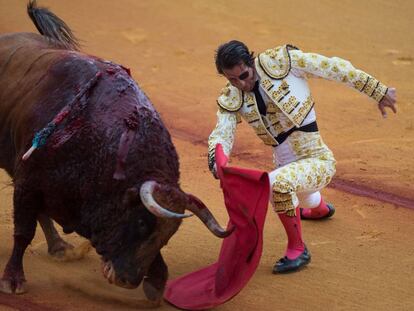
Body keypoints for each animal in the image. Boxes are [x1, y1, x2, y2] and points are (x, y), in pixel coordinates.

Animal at [0, 0, 230, 302]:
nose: (127, 280)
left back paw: (59, 247)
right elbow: (23, 233)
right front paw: (13, 280)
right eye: (142, 222)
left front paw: (156, 284)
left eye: (169, 235)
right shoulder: (28, 182)